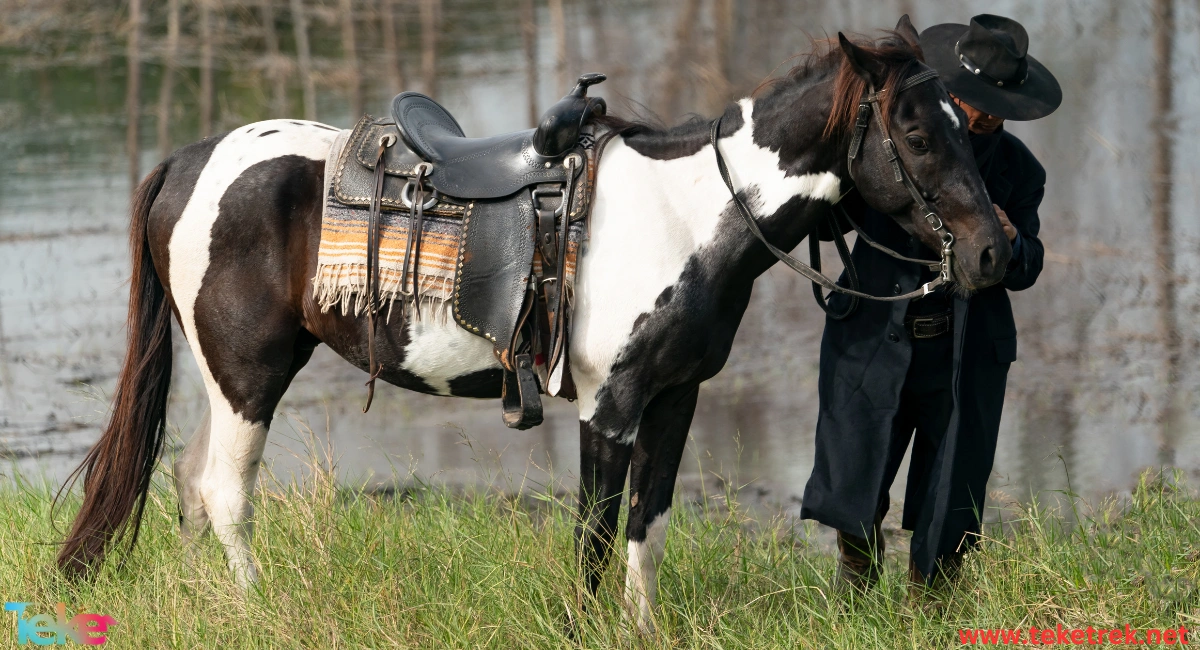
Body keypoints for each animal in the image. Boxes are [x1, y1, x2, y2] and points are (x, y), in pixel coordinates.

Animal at [60, 24, 1008, 633]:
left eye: (969, 128)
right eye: (917, 132)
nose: (997, 251)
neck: (686, 213)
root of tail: (189, 161)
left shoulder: (676, 400)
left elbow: (647, 528)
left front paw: (641, 630)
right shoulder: (608, 406)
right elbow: (594, 534)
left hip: (230, 379)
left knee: (189, 482)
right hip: (248, 373)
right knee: (226, 492)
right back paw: (255, 609)